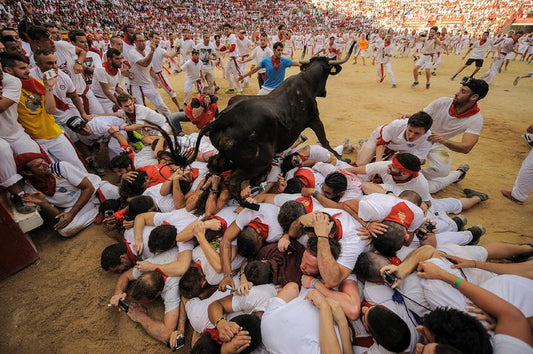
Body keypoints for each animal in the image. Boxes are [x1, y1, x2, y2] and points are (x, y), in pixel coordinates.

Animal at [189, 41, 356, 201]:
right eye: (327, 73)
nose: (324, 92)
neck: (307, 80)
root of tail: (224, 118)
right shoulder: (315, 119)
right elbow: (324, 140)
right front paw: (339, 156)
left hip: (224, 154)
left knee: (214, 165)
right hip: (258, 162)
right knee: (232, 180)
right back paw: (246, 201)